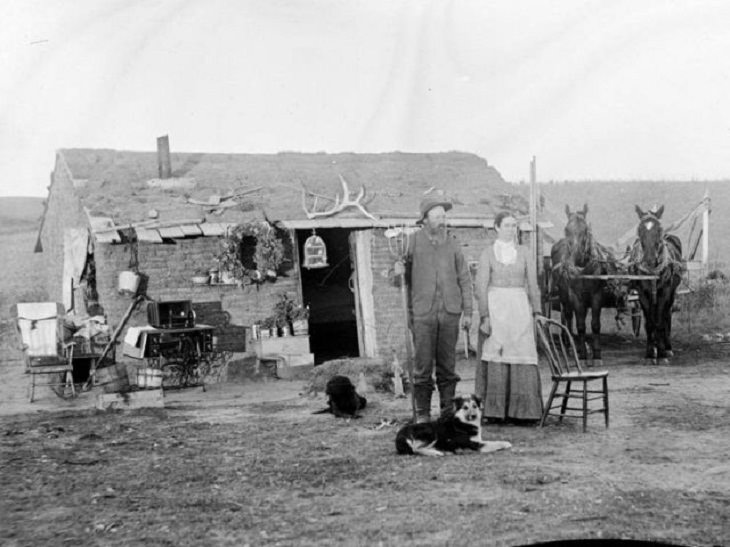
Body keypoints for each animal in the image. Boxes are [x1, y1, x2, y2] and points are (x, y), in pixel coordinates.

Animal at [548, 203, 616, 366]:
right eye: (566, 229)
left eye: (585, 230)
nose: (571, 262)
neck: (584, 268)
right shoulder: (575, 296)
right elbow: (580, 325)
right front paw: (584, 355)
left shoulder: (597, 295)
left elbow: (595, 324)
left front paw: (597, 355)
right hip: (564, 296)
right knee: (568, 318)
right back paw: (571, 347)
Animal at [624, 206, 684, 364]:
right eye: (640, 229)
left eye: (659, 229)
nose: (649, 261)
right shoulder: (643, 293)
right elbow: (650, 322)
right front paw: (650, 353)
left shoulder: (665, 292)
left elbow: (660, 321)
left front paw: (662, 353)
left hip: (671, 294)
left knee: (666, 316)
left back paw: (667, 347)